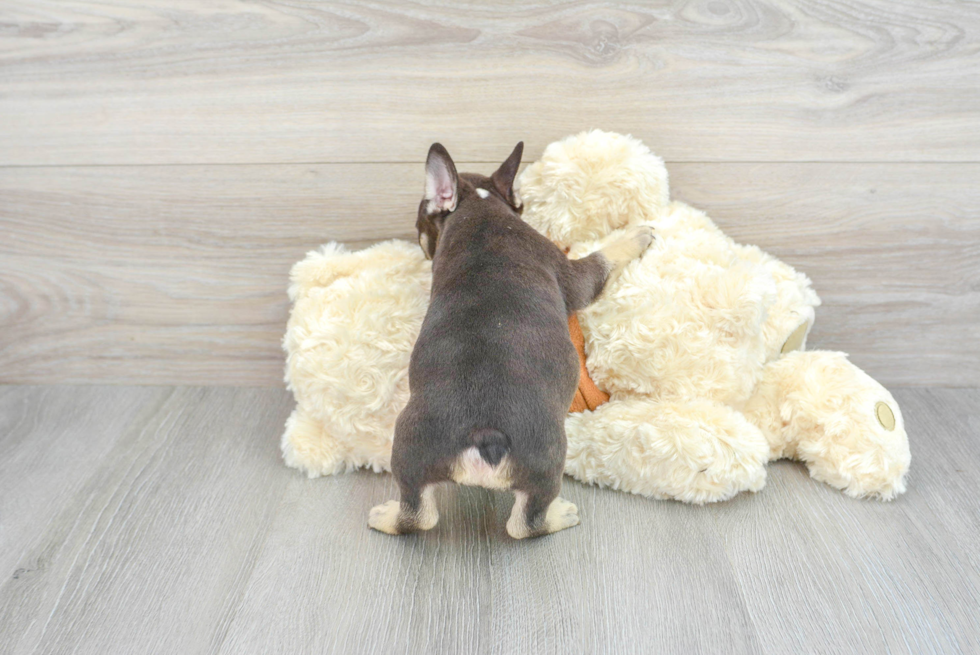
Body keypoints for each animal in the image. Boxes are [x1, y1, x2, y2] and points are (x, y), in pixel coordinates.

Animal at [368, 142, 652, 540]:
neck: (479, 205)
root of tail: (483, 436)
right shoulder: (574, 276)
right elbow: (603, 258)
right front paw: (635, 236)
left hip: (409, 449)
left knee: (417, 514)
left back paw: (386, 517)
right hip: (547, 459)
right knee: (525, 523)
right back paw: (559, 515)